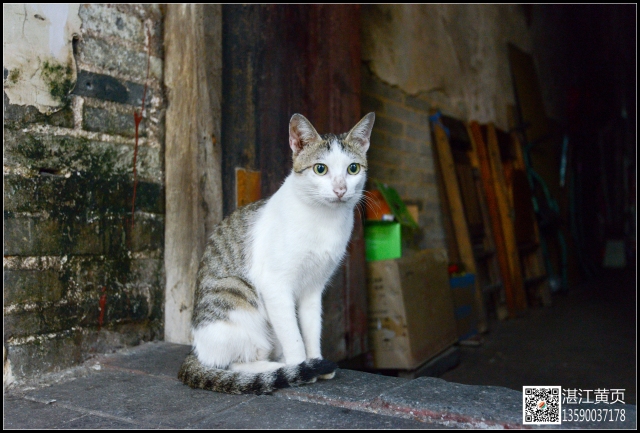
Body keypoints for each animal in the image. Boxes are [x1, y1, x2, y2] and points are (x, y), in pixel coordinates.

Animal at [178, 110, 372, 392]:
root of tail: (196, 350)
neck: (324, 220)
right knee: (232, 364)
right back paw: (277, 368)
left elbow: (311, 329)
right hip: (239, 297)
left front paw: (315, 361)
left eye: (353, 168)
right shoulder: (275, 285)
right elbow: (294, 337)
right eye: (320, 169)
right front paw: (302, 368)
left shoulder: (313, 288)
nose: (340, 189)